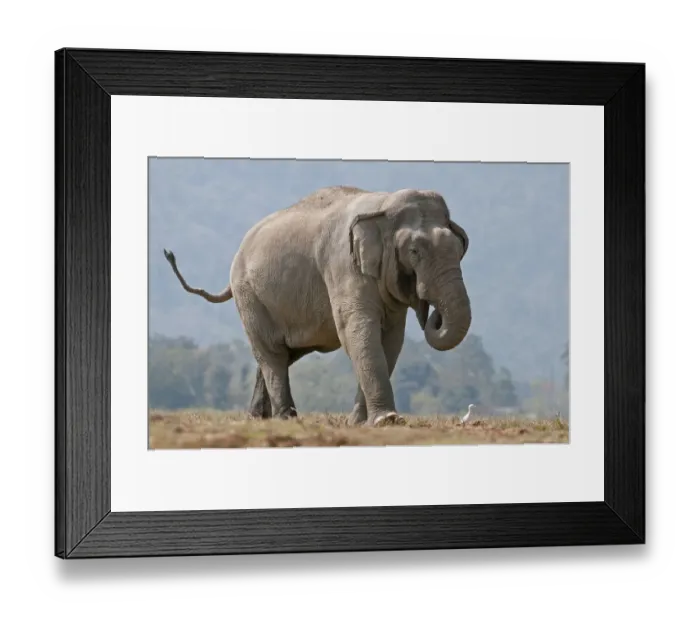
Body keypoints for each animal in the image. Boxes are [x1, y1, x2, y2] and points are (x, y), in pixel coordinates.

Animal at [163, 185, 472, 427]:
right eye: (414, 251)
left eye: (461, 250)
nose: (432, 314)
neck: (383, 204)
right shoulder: (342, 264)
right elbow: (356, 331)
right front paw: (387, 420)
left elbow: (391, 340)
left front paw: (359, 422)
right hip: (249, 295)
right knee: (271, 352)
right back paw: (285, 417)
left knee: (281, 352)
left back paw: (258, 417)